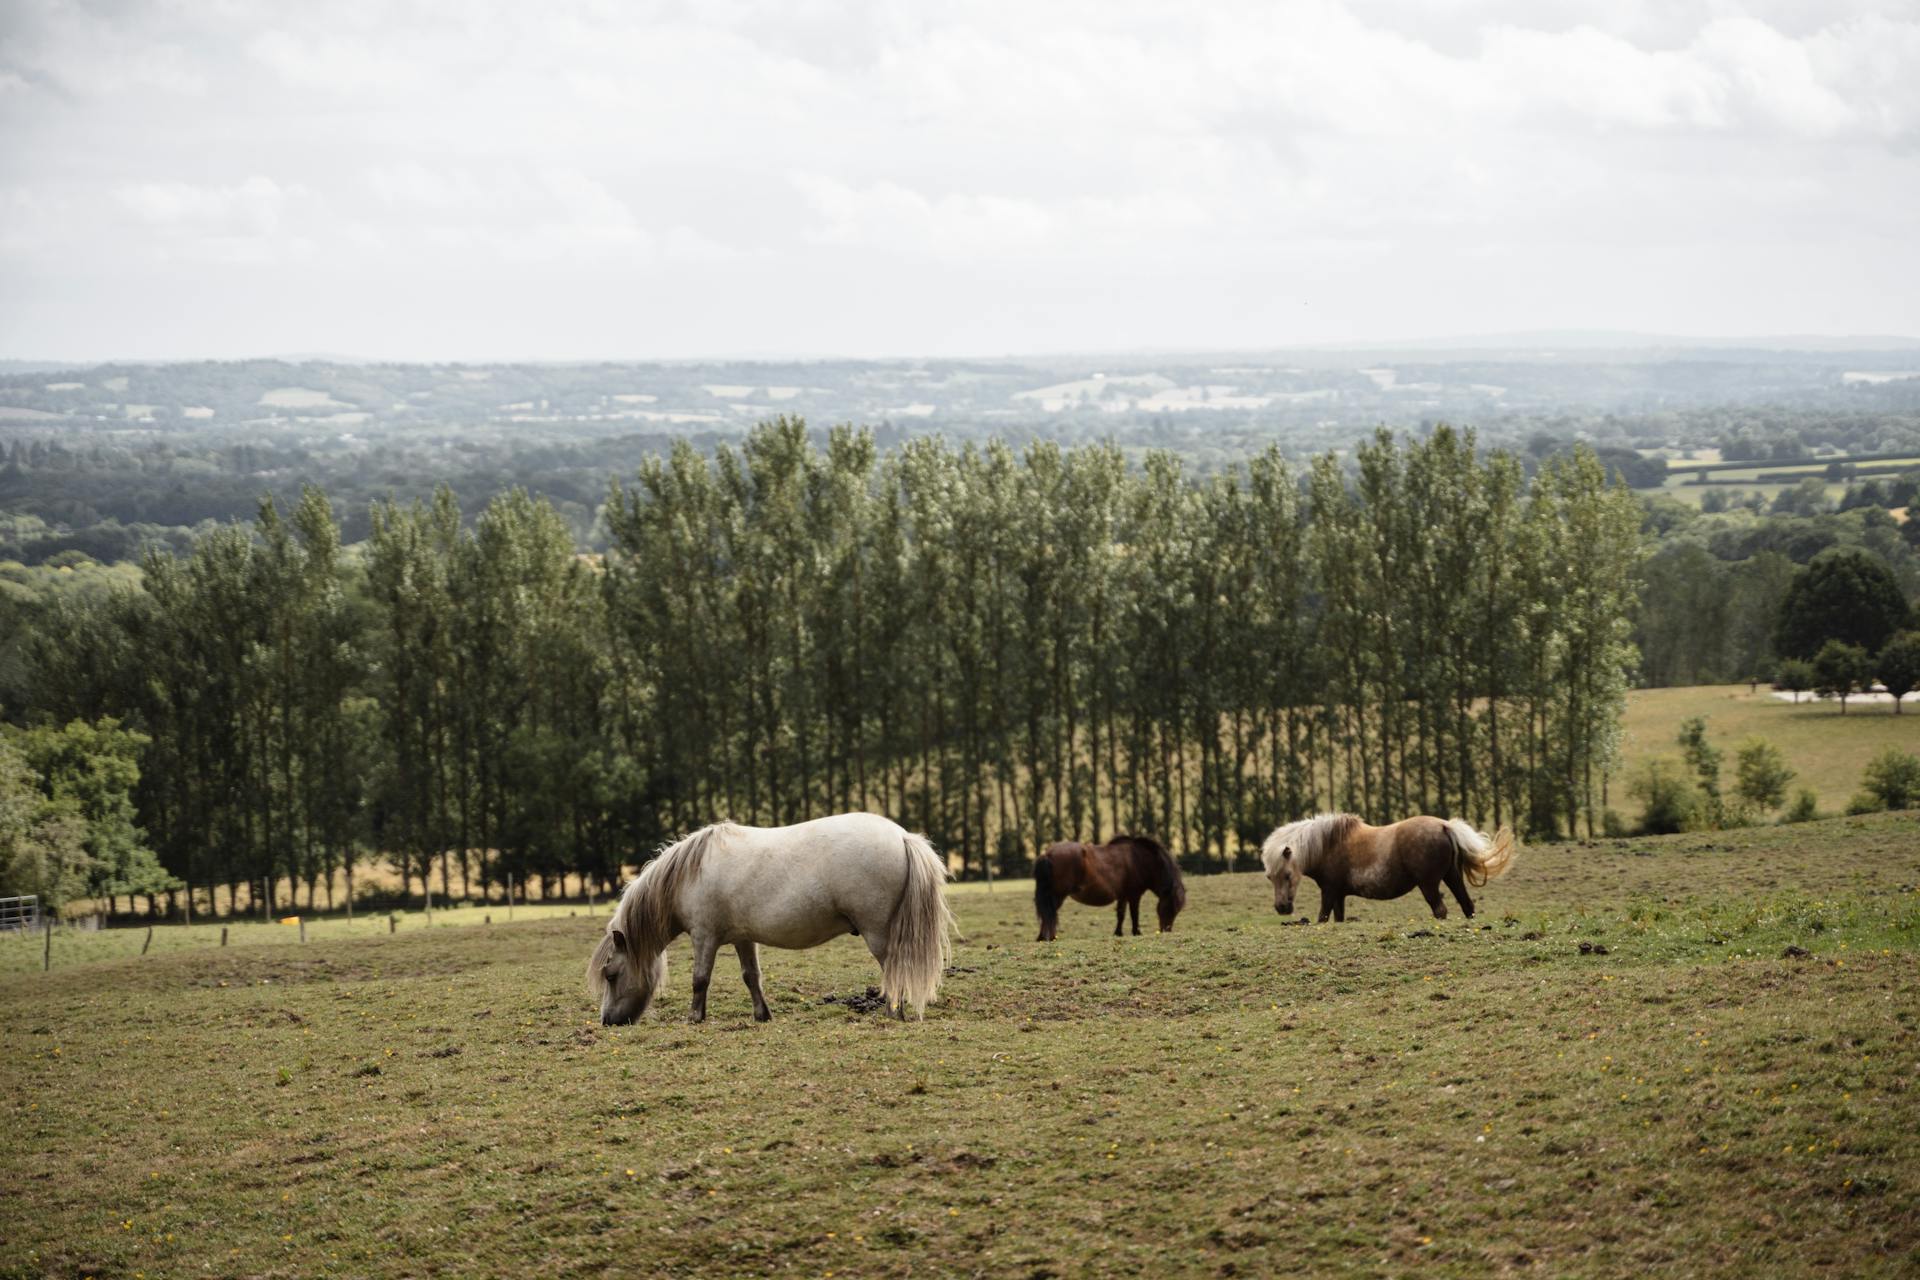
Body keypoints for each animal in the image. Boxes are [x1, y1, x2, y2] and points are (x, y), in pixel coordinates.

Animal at [579, 817, 948, 1028]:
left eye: (611, 975)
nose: (607, 1021)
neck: (689, 875)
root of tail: (902, 836)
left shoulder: (704, 937)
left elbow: (700, 979)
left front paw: (695, 1017)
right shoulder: (743, 938)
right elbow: (751, 977)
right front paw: (761, 1015)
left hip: (877, 932)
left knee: (893, 968)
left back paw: (893, 1012)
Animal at [1036, 836, 1182, 948]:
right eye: (1172, 908)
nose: (1166, 930)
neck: (1139, 859)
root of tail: (1048, 854)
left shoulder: (1123, 895)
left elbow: (1121, 914)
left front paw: (1118, 933)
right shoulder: (1134, 895)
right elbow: (1134, 914)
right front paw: (1137, 932)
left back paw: (1042, 937)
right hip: (1057, 895)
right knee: (1049, 914)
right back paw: (1049, 936)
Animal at [1259, 821, 1512, 921]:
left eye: (1287, 875)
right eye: (1269, 877)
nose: (1281, 908)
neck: (1328, 844)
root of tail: (1444, 825)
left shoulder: (1329, 891)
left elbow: (1322, 917)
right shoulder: (1339, 895)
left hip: (1429, 884)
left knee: (1440, 910)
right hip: (1452, 877)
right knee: (1467, 905)